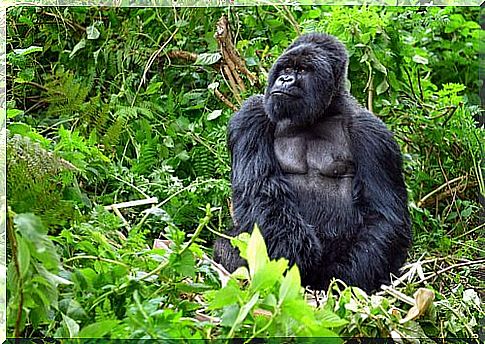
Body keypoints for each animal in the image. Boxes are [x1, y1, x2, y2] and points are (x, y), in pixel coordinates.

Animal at [214, 32, 410, 292]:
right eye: (287, 68)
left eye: (303, 70)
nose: (285, 79)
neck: (320, 114)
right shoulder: (251, 114)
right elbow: (260, 189)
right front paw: (295, 251)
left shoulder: (373, 134)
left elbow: (384, 216)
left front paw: (341, 279)